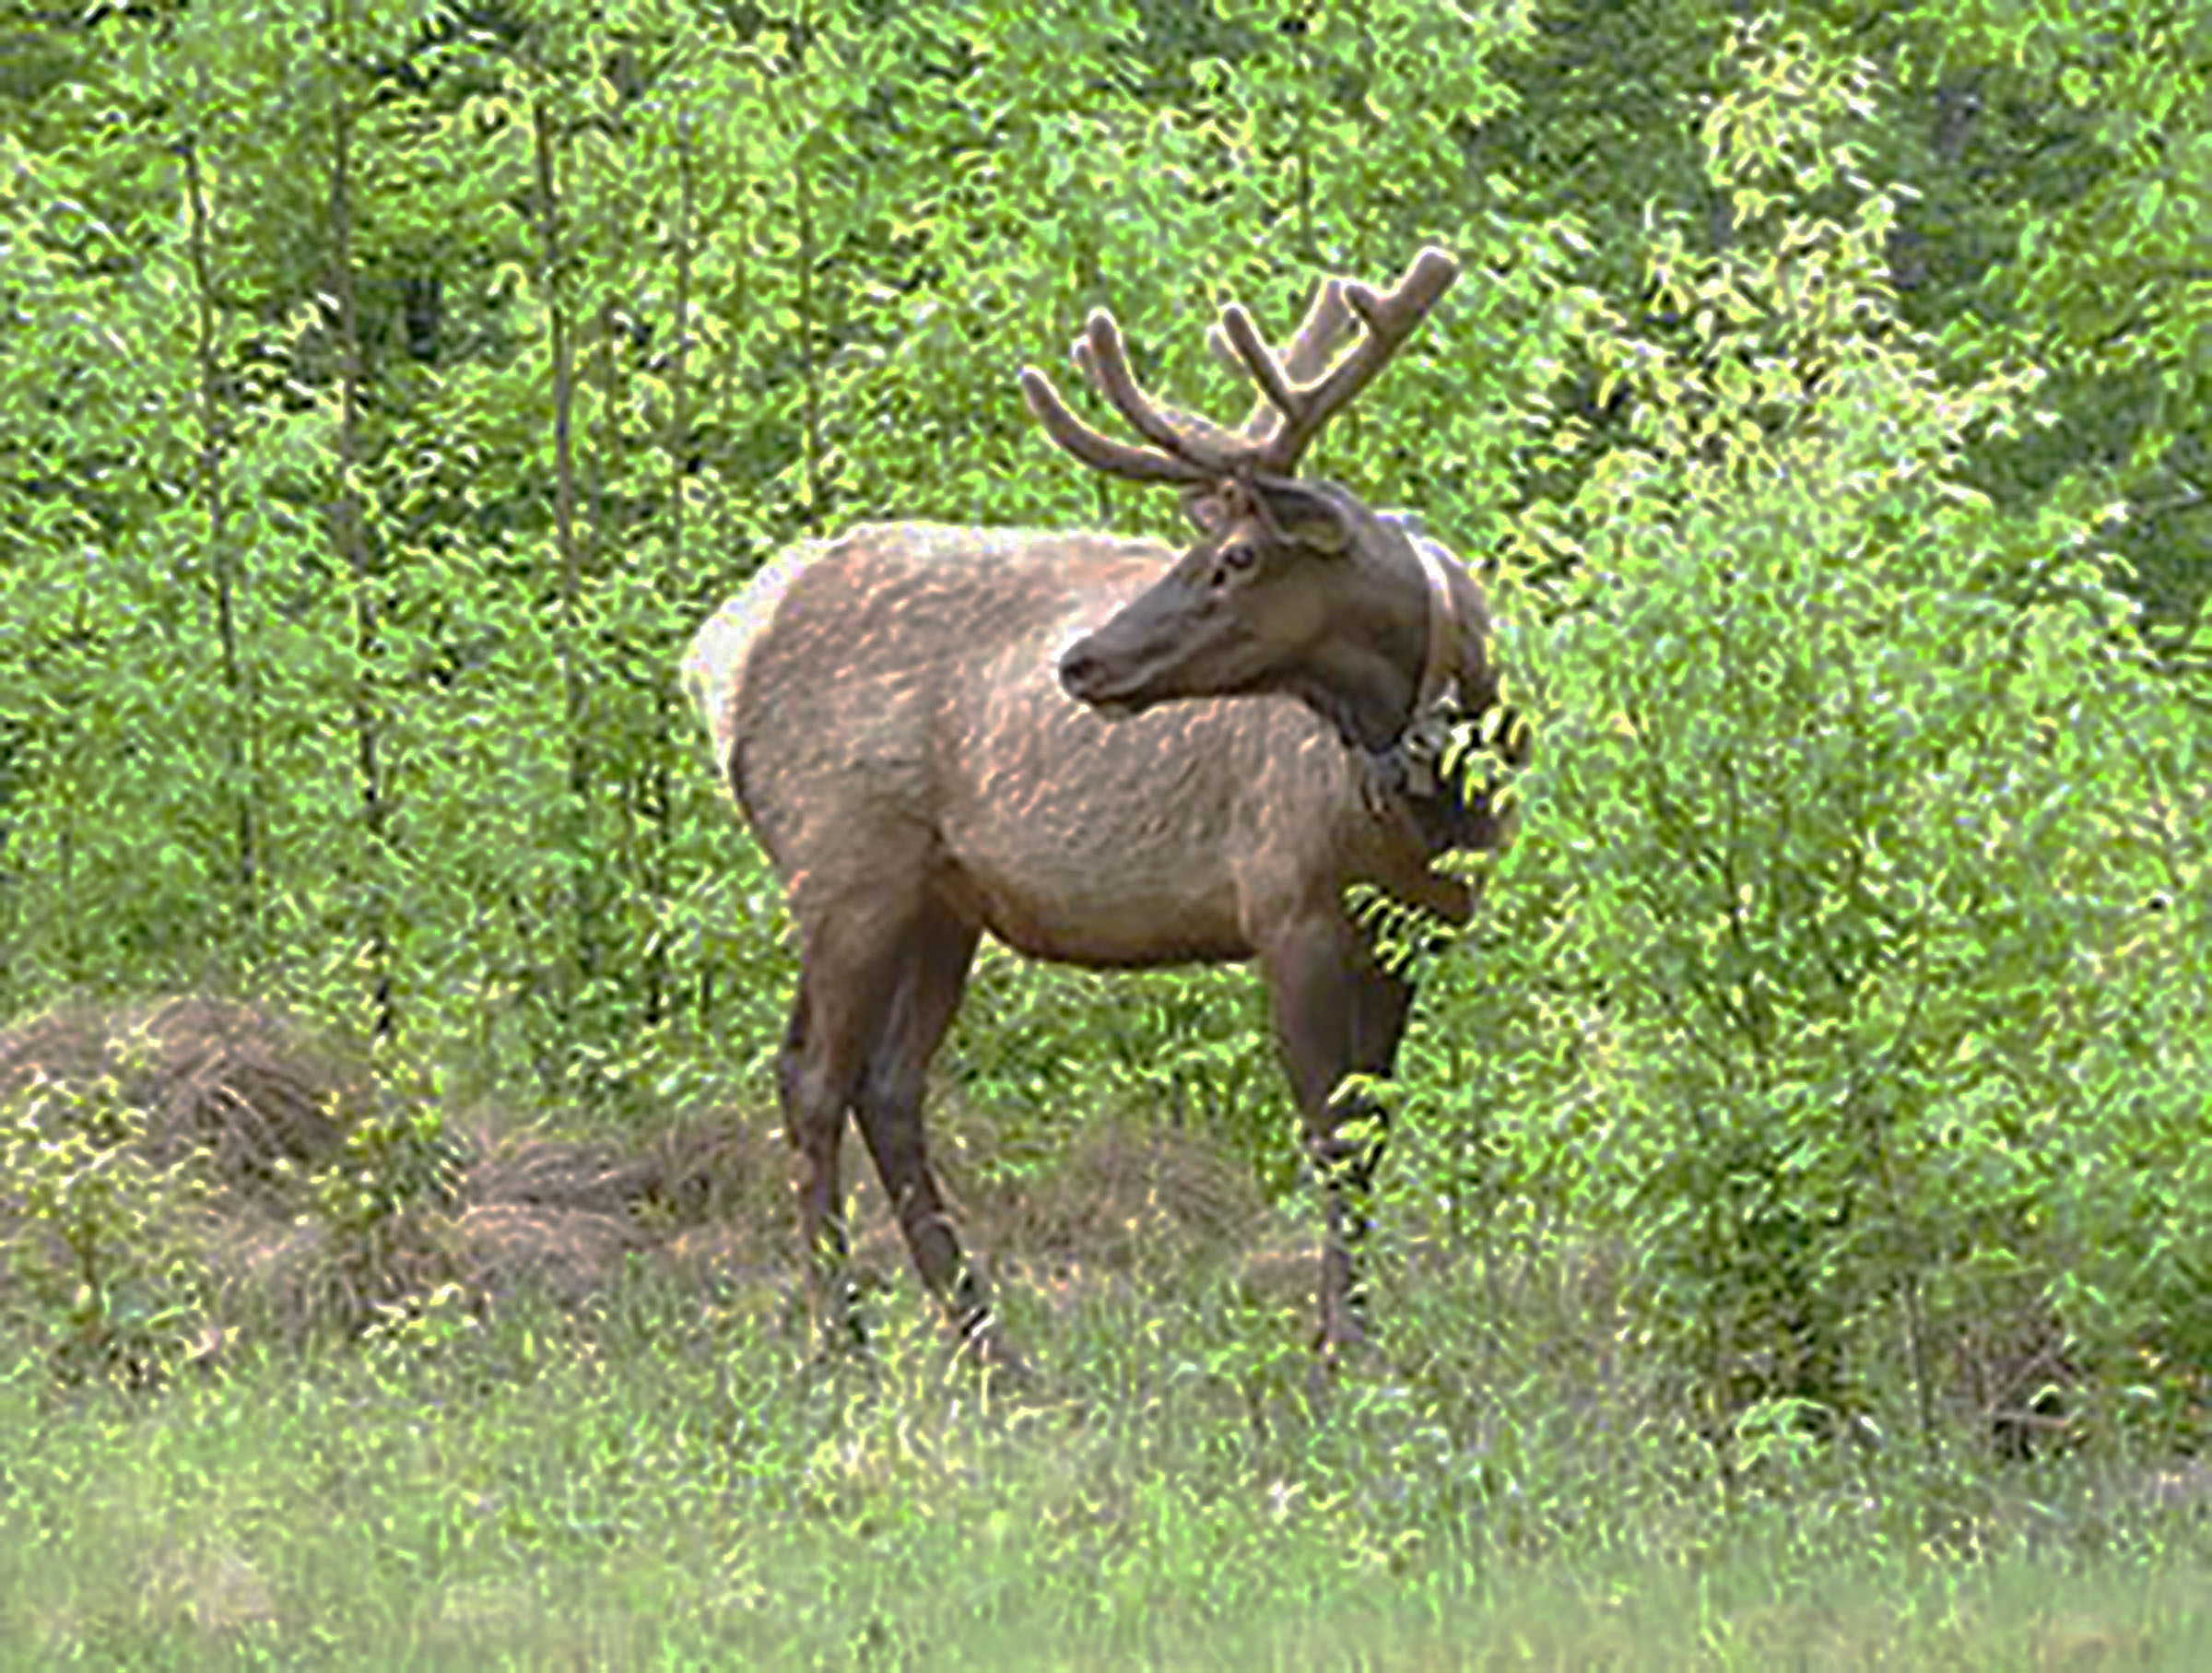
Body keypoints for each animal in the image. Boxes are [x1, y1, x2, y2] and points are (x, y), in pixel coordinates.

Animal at [683, 247, 1517, 1373]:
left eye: (1237, 557)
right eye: (1198, 547)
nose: (1082, 661)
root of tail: (725, 650)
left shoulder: (1418, 928)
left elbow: (1371, 1131)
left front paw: (1356, 1333)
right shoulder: (1288, 899)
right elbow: (1326, 1130)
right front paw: (1341, 1348)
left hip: (943, 900)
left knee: (889, 1087)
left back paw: (985, 1338)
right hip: (843, 861)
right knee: (811, 1076)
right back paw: (843, 1341)